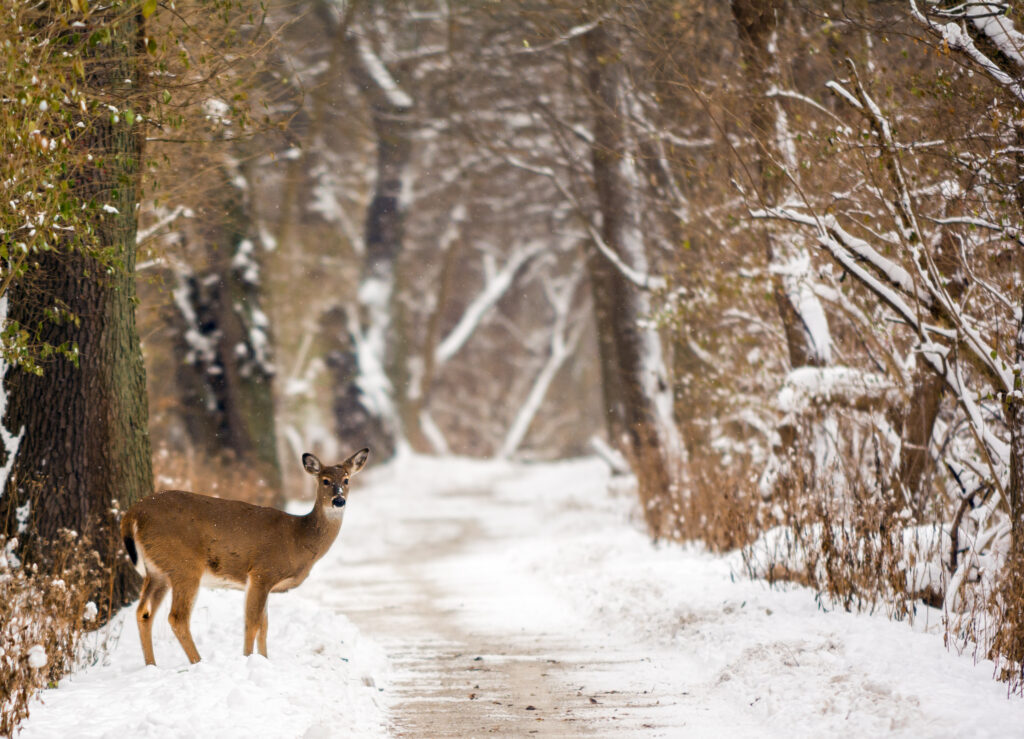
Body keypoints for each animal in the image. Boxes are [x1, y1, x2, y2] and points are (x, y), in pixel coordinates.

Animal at [120, 446, 368, 663]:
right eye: (325, 480)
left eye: (346, 480)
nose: (339, 500)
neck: (299, 539)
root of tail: (132, 514)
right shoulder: (262, 572)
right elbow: (252, 623)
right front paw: (249, 659)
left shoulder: (264, 583)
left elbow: (265, 626)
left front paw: (264, 660)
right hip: (184, 564)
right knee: (177, 617)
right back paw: (198, 662)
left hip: (157, 570)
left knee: (143, 612)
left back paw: (151, 665)